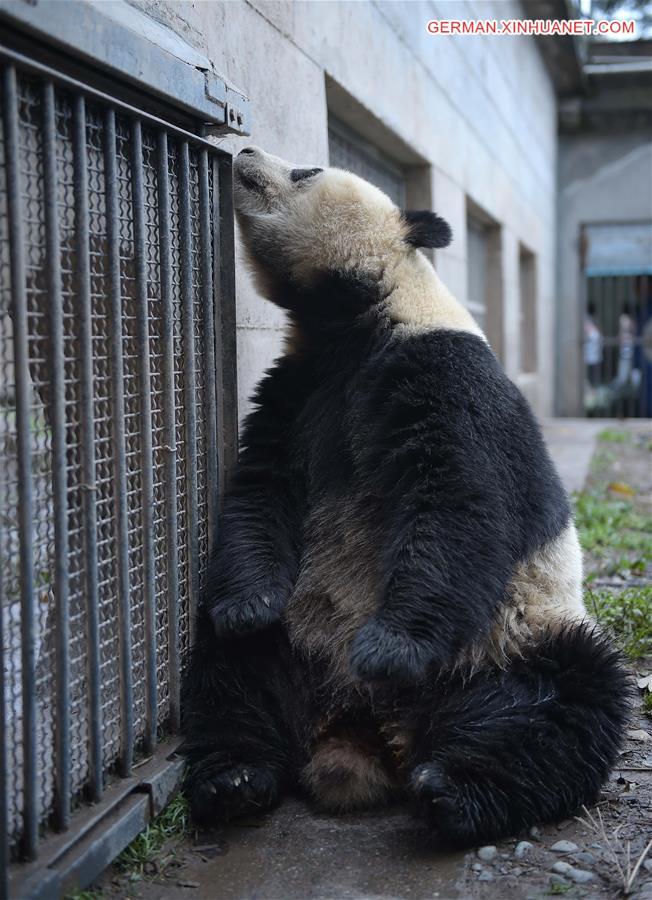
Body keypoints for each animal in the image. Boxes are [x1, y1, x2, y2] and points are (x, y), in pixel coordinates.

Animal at [181, 146, 628, 844]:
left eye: (307, 171)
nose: (247, 152)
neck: (354, 322)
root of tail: (368, 732)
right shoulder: (297, 390)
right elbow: (261, 492)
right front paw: (248, 605)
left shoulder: (445, 373)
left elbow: (461, 504)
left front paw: (390, 647)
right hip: (298, 634)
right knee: (232, 676)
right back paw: (235, 778)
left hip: (510, 639)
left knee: (565, 702)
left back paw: (455, 791)